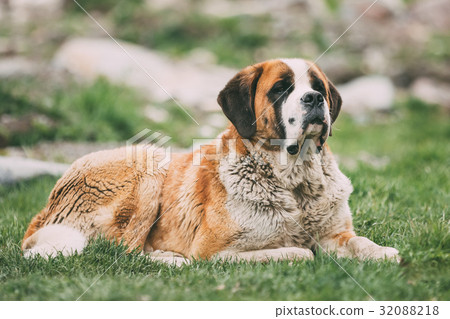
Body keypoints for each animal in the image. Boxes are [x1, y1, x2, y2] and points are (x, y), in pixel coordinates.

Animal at [22, 58, 400, 264]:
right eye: (281, 89)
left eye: (318, 86)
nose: (314, 99)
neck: (294, 180)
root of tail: (43, 210)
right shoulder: (214, 252)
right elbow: (298, 251)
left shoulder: (336, 233)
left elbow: (358, 241)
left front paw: (383, 253)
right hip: (149, 161)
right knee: (125, 249)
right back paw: (170, 260)